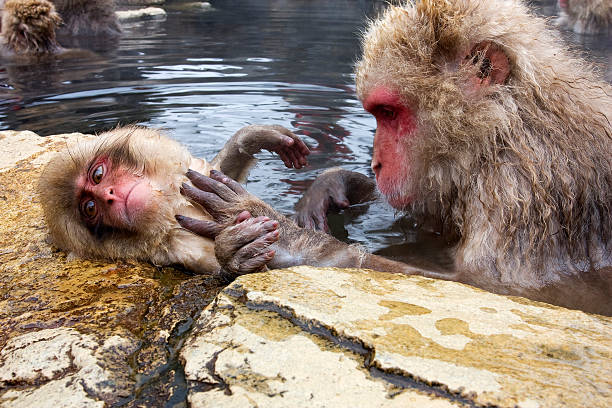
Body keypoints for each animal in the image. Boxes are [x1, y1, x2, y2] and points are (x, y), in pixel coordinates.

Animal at [37, 126, 310, 276]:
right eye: (90, 207)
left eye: (98, 175)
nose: (109, 195)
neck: (169, 207)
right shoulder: (183, 248)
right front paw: (234, 255)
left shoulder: (191, 174)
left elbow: (216, 171)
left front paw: (254, 136)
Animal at [178, 0, 612, 316]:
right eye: (377, 114)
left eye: (389, 113)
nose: (377, 164)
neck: (503, 127)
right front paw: (332, 186)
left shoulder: (525, 186)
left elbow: (493, 288)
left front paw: (282, 234)